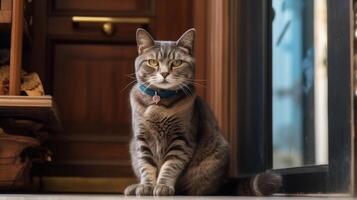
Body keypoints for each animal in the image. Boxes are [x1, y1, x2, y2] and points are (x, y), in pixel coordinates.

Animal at [124, 27, 280, 195]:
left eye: (177, 63)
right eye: (153, 62)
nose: (164, 73)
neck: (159, 102)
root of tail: (223, 183)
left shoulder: (182, 139)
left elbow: (170, 165)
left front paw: (163, 186)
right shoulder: (142, 138)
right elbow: (146, 165)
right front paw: (146, 186)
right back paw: (133, 187)